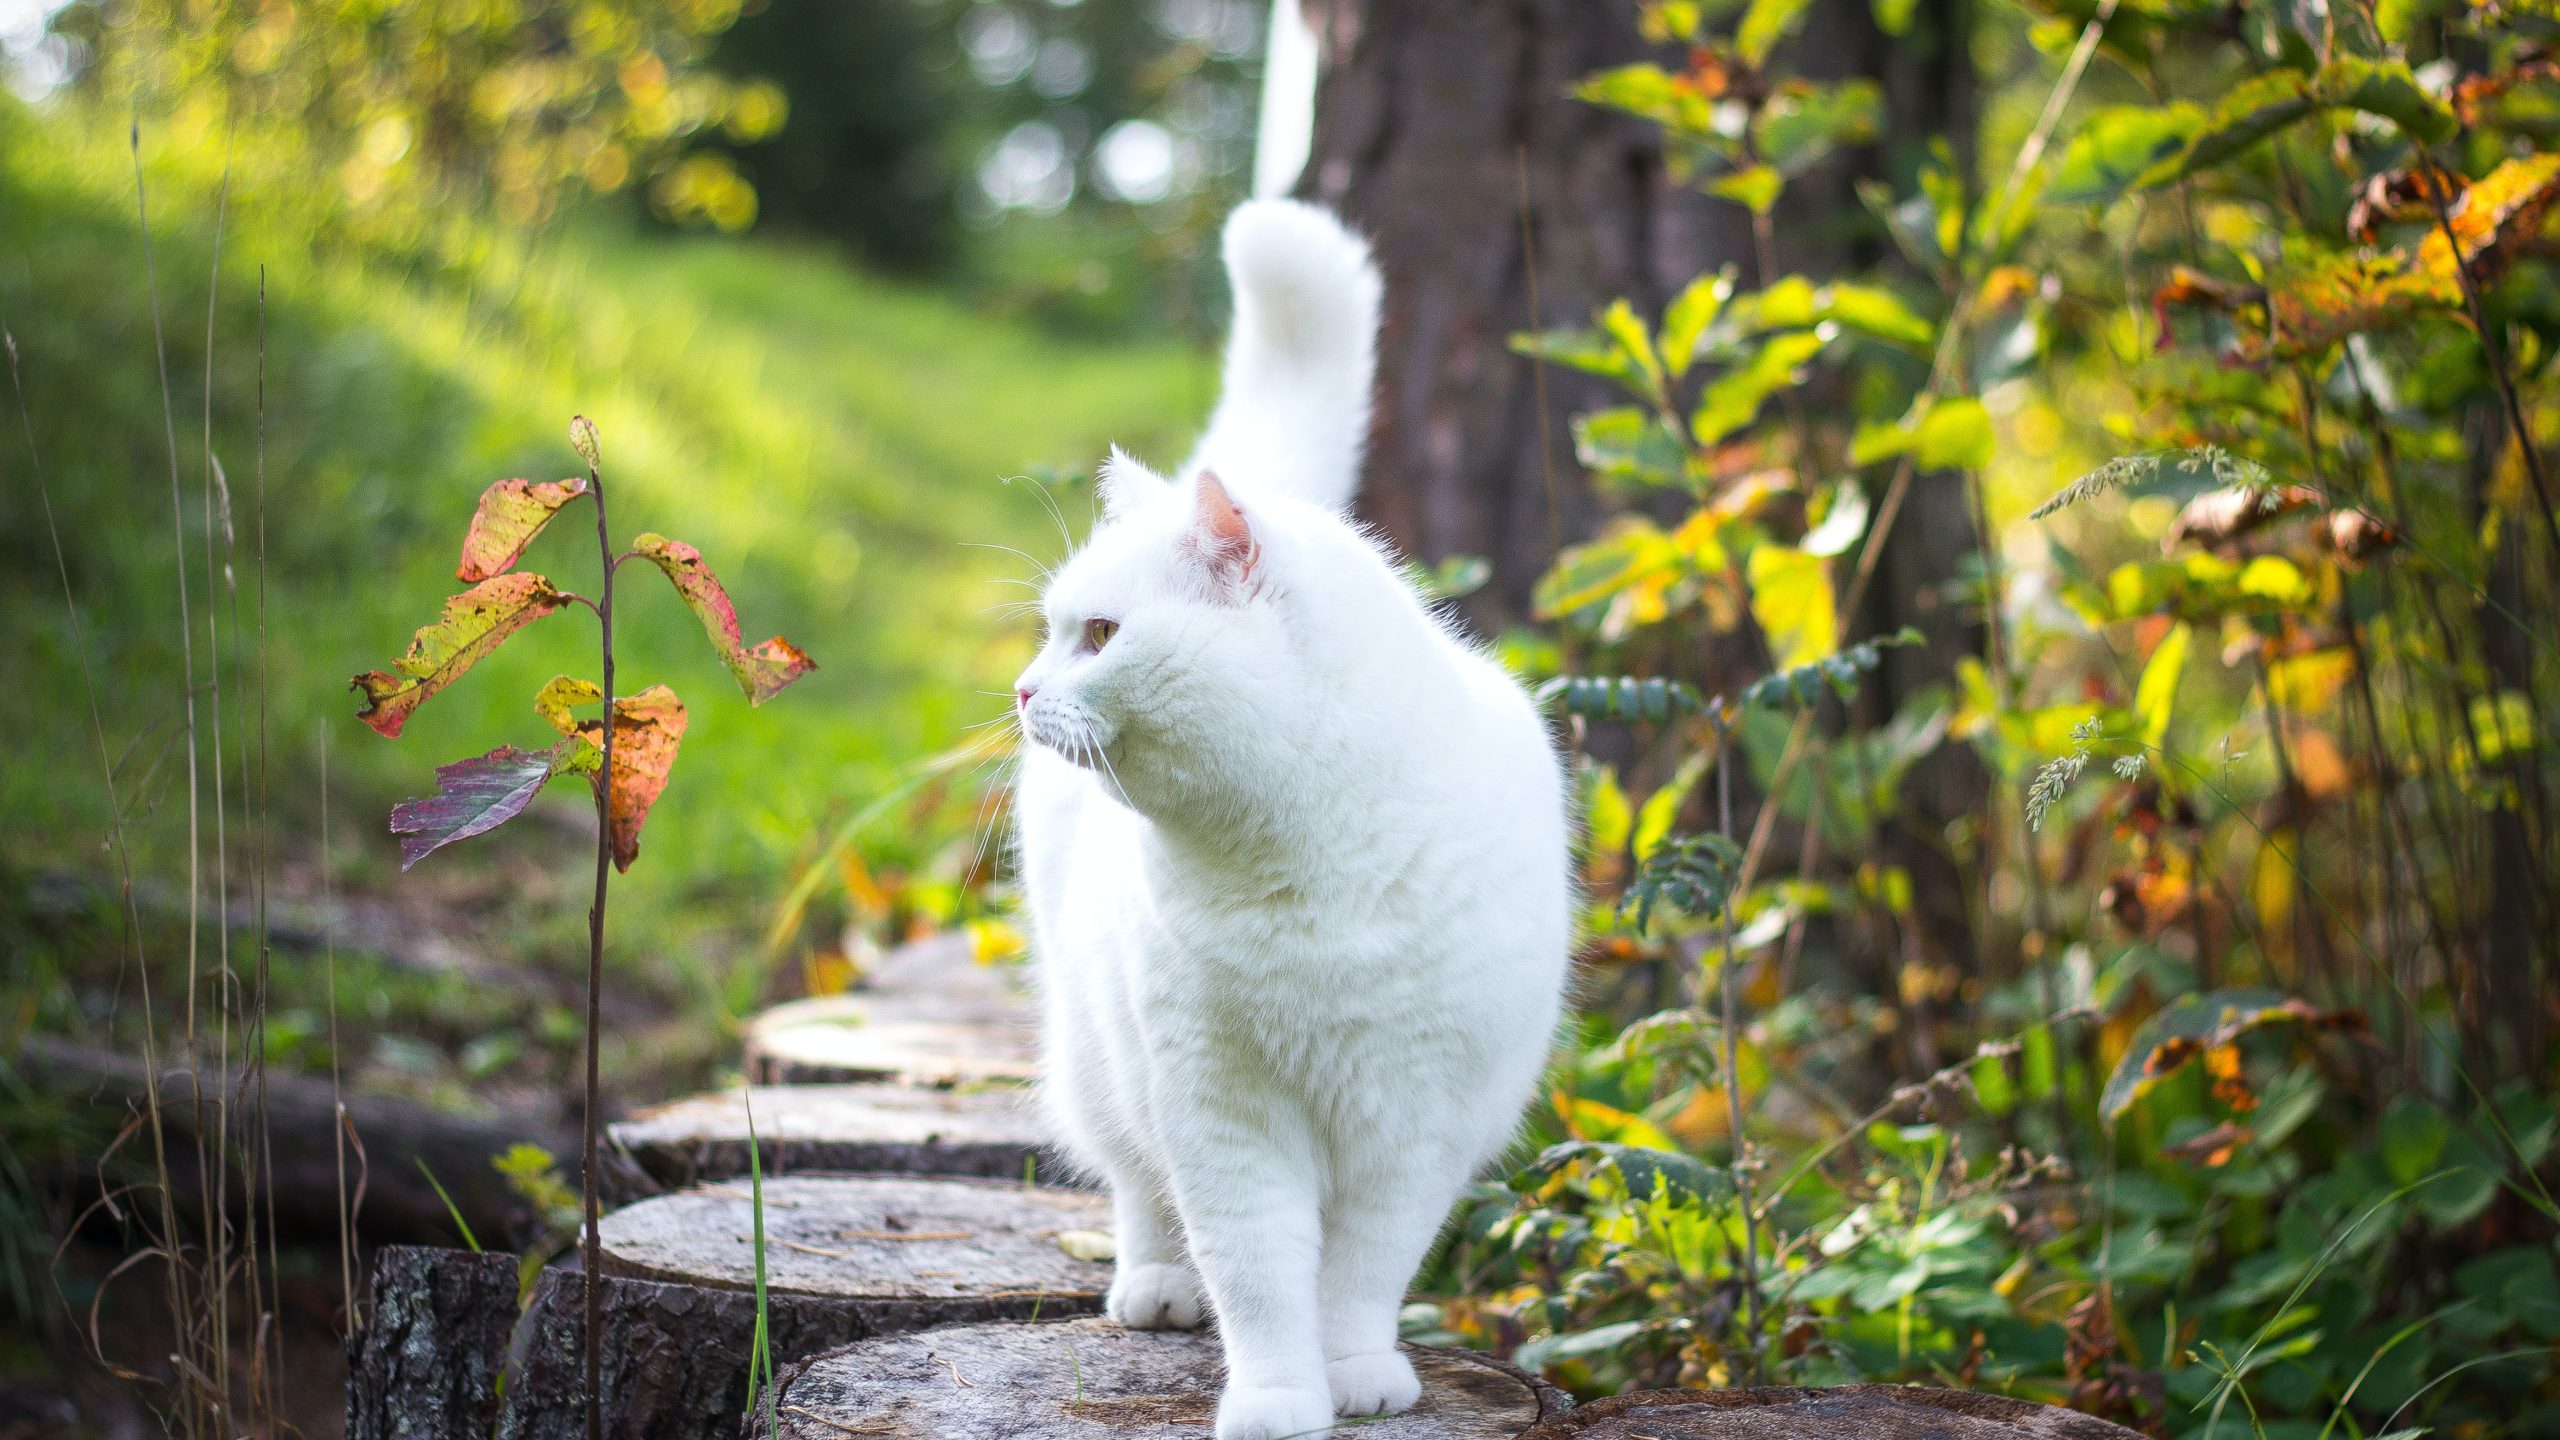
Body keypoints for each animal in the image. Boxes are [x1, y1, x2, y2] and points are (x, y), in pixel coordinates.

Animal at [1008, 198, 1566, 1434]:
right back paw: (1157, 1289)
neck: (1300, 865)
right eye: (1052, 630)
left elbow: (1361, 1273)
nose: (1020, 690)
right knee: (1139, 1189)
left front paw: (1353, 1374)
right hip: (1104, 1060)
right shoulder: (1223, 1113)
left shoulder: (1413, 1124)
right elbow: (1257, 1271)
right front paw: (1276, 1397)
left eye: (1099, 637)